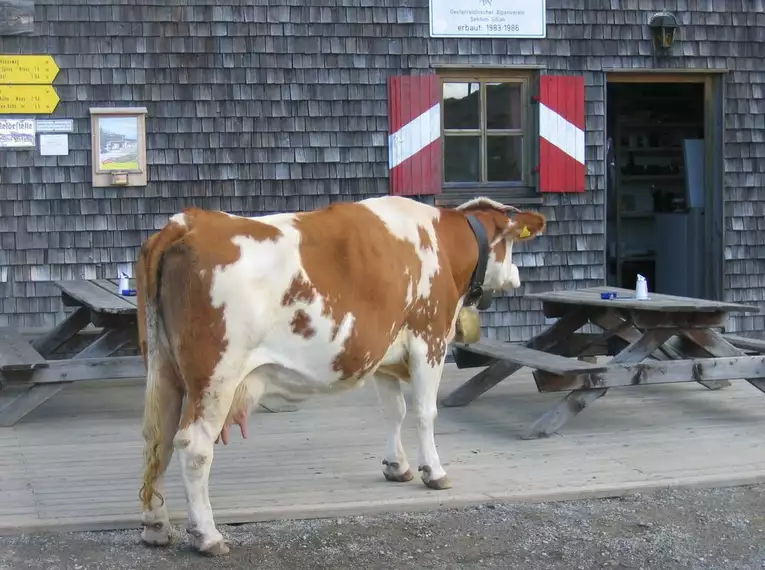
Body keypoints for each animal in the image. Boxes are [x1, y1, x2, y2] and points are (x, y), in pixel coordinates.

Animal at [136, 193, 544, 552]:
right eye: (512, 245)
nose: (517, 276)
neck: (442, 241)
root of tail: (189, 221)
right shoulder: (428, 340)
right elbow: (424, 412)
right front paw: (434, 471)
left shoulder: (384, 351)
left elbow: (393, 411)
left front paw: (396, 466)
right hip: (215, 376)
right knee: (193, 446)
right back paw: (207, 535)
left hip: (164, 369)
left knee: (158, 438)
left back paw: (156, 526)